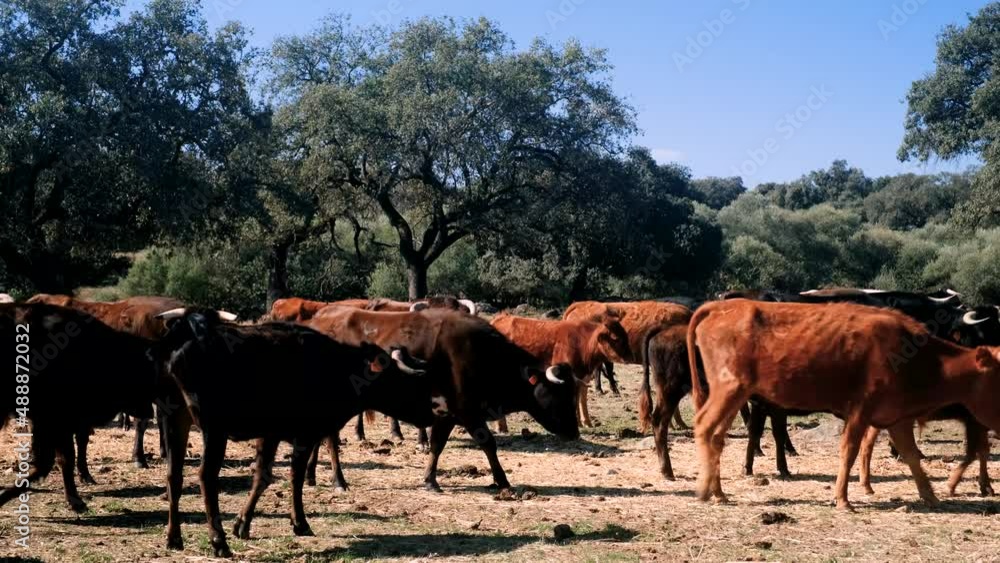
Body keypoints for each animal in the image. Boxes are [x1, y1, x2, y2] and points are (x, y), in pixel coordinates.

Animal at [0, 303, 159, 512]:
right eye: (139, 372)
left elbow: (54, 460)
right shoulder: (58, 421)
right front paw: (75, 500)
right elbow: (61, 459)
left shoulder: (58, 423)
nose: (148, 411)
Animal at [150, 307, 440, 557]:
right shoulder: (304, 435)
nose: (432, 412)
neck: (336, 367)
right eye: (401, 380)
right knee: (206, 477)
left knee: (173, 476)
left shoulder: (269, 434)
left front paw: (243, 524)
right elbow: (296, 477)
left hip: (173, 418)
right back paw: (218, 542)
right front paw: (300, 522)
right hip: (213, 429)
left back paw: (173, 538)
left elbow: (262, 476)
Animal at [304, 306, 580, 493]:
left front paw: (430, 480)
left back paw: (310, 475)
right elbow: (489, 444)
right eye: (559, 394)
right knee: (330, 440)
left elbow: (437, 445)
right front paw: (502, 480)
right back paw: (338, 480)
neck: (483, 355)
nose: (574, 432)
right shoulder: (468, 413)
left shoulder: (447, 416)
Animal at [490, 313, 631, 428]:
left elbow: (581, 398)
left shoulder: (582, 377)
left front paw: (585, 422)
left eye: (625, 335)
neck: (582, 342)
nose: (629, 356)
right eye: (615, 338)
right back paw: (501, 426)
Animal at [687, 298, 1000, 509]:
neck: (918, 357)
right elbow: (849, 451)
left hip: (736, 396)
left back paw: (718, 492)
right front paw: (843, 499)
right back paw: (704, 489)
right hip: (729, 389)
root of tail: (720, 306)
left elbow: (911, 455)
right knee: (704, 427)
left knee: (717, 436)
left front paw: (930, 495)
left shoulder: (897, 418)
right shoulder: (860, 410)